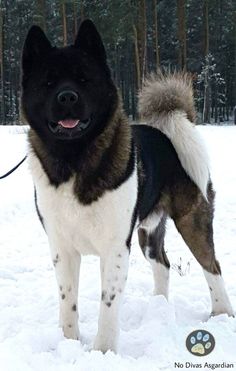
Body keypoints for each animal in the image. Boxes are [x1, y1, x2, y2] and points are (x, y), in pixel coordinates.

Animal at [20, 18, 234, 354]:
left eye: (84, 78)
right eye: (49, 82)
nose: (67, 97)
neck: (75, 159)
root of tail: (167, 130)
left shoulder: (115, 247)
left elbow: (108, 305)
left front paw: (102, 352)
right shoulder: (62, 247)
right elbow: (68, 301)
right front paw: (69, 344)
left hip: (192, 220)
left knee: (212, 266)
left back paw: (221, 314)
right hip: (149, 232)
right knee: (163, 264)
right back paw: (159, 308)